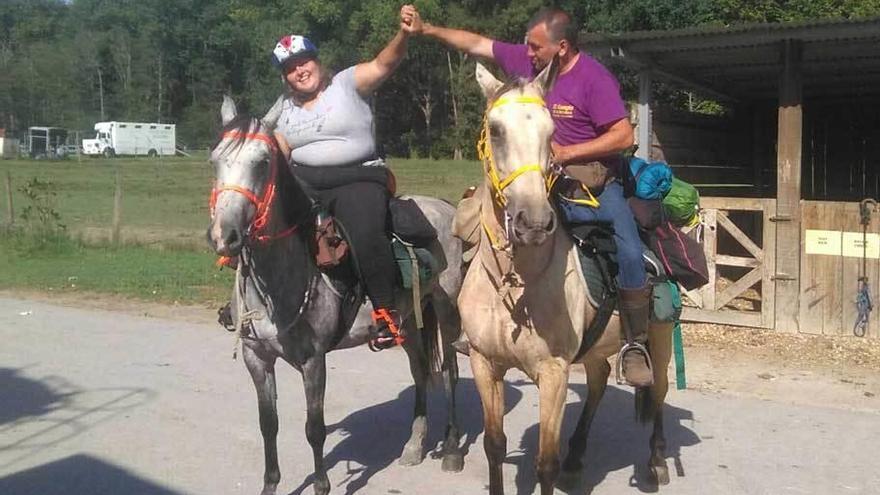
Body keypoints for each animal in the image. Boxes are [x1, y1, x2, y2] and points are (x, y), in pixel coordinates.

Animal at [209, 98, 464, 495]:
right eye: (215, 160)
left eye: (263, 161)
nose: (225, 236)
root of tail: (444, 205)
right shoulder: (257, 358)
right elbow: (269, 425)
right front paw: (270, 485)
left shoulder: (314, 361)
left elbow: (314, 429)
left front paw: (321, 486)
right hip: (408, 322)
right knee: (421, 371)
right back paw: (414, 445)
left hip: (446, 309)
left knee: (450, 371)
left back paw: (451, 449)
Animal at [460, 63, 672, 495]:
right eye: (496, 129)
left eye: (550, 132)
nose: (534, 223)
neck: (514, 284)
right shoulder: (484, 362)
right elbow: (494, 445)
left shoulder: (553, 373)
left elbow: (545, 463)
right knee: (599, 380)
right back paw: (577, 458)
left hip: (661, 337)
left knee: (656, 389)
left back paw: (657, 462)